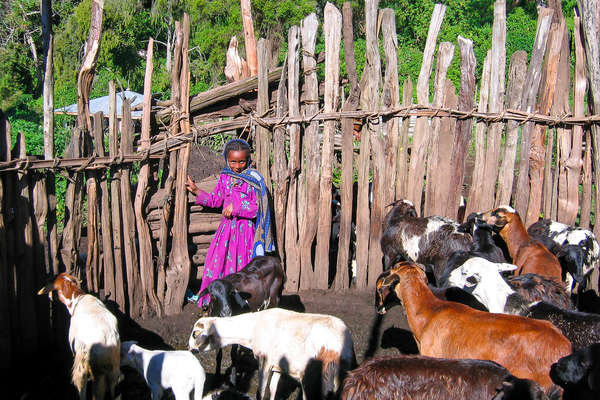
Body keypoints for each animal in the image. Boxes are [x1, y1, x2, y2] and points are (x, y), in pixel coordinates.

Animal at [188, 308, 356, 398]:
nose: (190, 348)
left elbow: (261, 392)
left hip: (315, 378)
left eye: (195, 334)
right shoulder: (278, 367)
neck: (251, 329)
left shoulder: (265, 361)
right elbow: (273, 389)